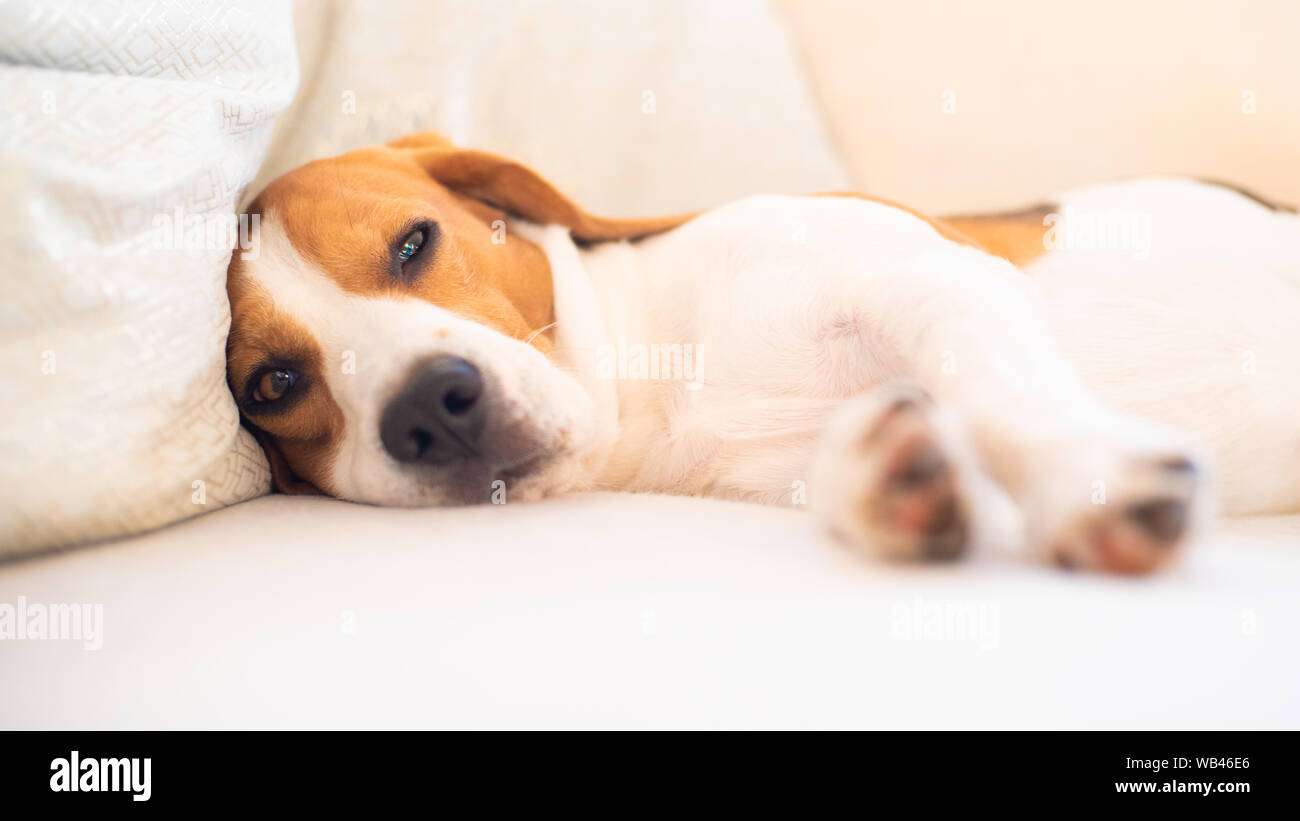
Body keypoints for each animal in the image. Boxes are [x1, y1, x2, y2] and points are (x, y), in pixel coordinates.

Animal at [226, 133, 1300, 571]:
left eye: (413, 243)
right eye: (271, 383)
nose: (427, 408)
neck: (666, 385)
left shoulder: (931, 280)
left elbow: (1001, 393)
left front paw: (1085, 479)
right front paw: (895, 479)